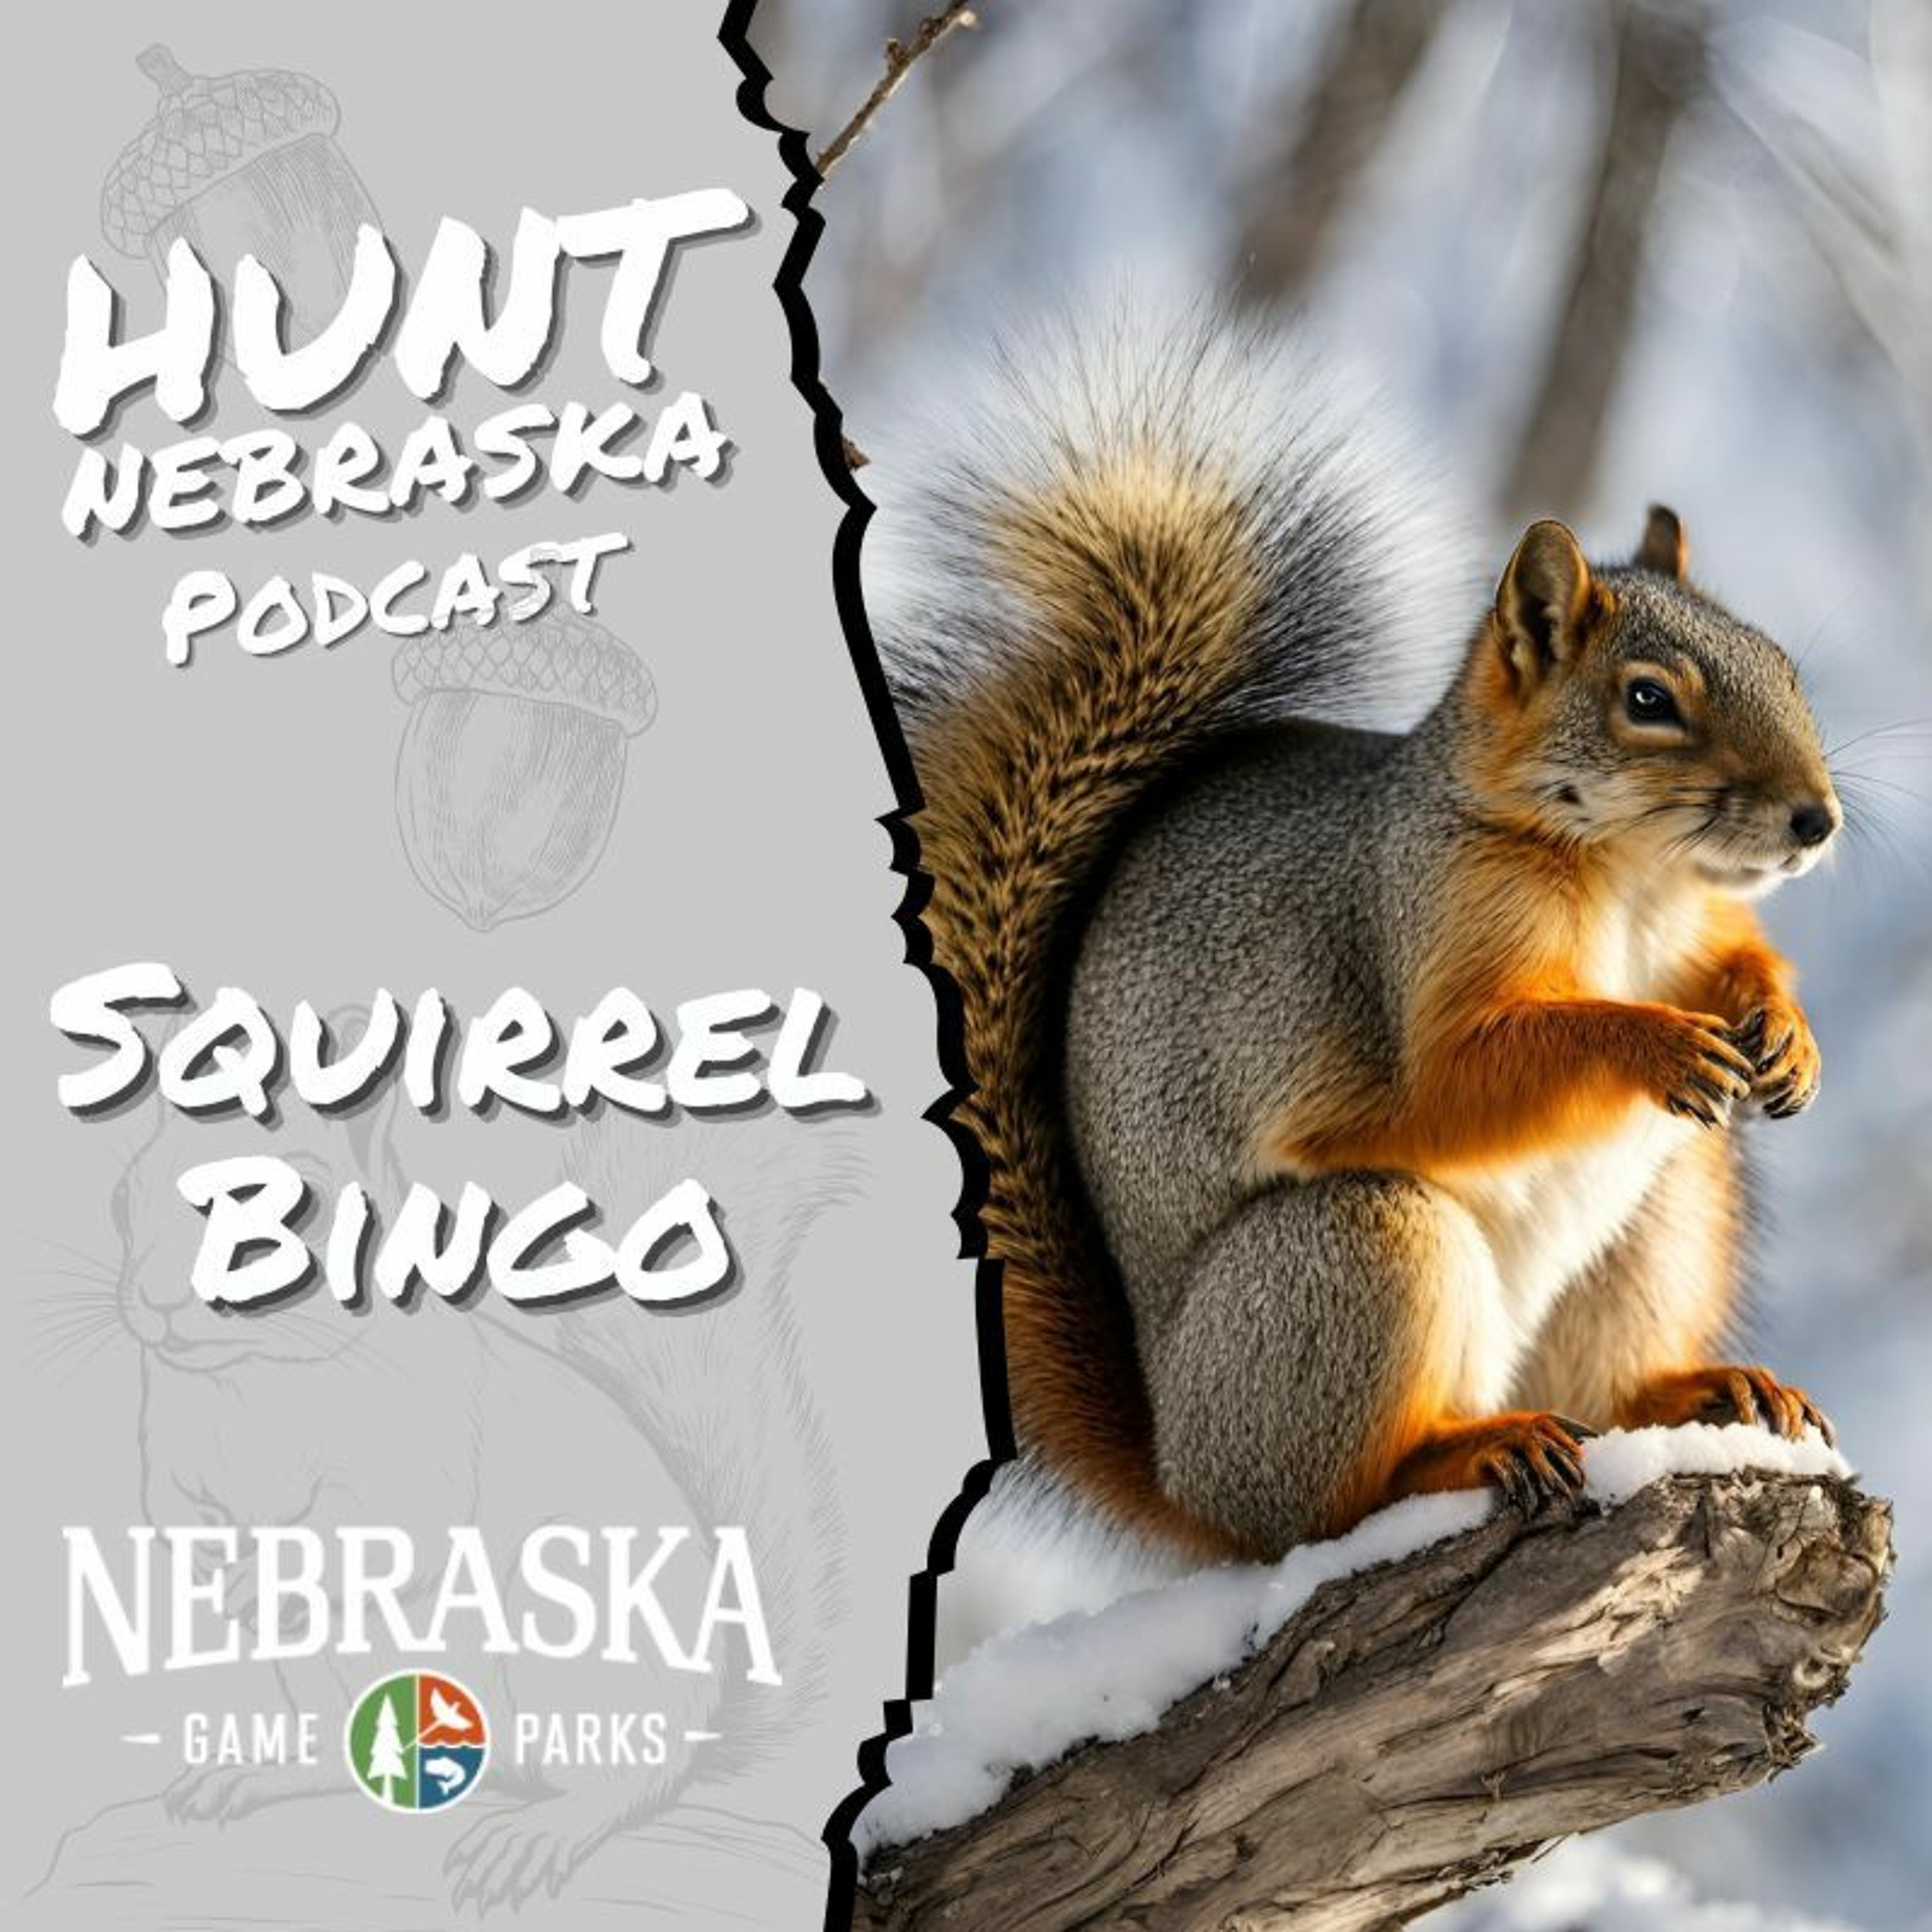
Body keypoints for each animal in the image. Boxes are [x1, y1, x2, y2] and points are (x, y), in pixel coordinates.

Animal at [886, 317, 1841, 1568]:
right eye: (1647, 700)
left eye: (1786, 669)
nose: (1817, 820)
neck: (1641, 877)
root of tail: (1183, 1480)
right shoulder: (1416, 927)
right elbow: (1453, 1074)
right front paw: (1655, 1045)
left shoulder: (1700, 925)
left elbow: (1740, 965)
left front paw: (1787, 1030)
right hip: (1356, 1252)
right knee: (1331, 1506)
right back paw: (1465, 1451)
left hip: (1673, 1208)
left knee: (1607, 1380)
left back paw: (1696, 1389)